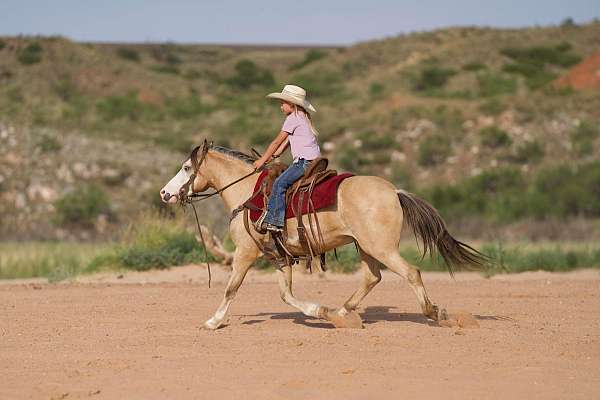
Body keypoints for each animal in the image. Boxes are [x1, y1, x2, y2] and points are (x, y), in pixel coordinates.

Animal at [161, 142, 488, 330]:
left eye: (187, 167)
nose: (165, 193)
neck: (248, 194)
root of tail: (394, 191)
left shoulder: (245, 252)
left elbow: (231, 288)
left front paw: (213, 321)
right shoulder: (279, 258)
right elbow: (286, 295)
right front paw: (320, 311)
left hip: (381, 248)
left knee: (411, 273)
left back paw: (434, 313)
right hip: (365, 247)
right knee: (372, 278)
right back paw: (341, 314)